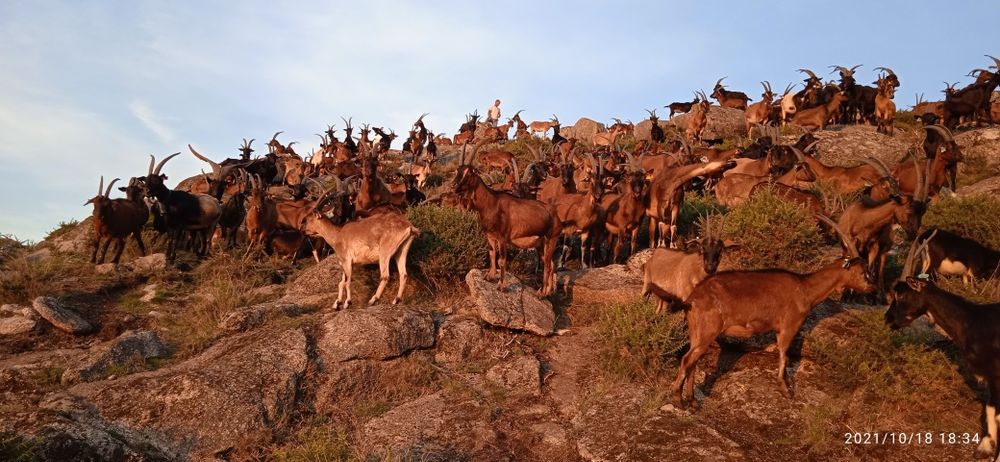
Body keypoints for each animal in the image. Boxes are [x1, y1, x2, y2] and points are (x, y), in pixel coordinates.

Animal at [454, 143, 560, 295]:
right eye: (457, 170)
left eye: (469, 172)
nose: (454, 186)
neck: (492, 202)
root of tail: (555, 215)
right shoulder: (490, 237)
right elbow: (492, 254)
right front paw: (490, 276)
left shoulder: (503, 238)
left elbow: (502, 261)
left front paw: (502, 286)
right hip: (540, 245)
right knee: (550, 263)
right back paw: (548, 291)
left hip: (551, 240)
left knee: (546, 264)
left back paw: (541, 293)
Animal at [673, 218, 872, 406]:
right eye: (862, 271)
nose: (873, 286)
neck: (805, 288)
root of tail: (692, 298)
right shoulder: (789, 325)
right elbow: (784, 355)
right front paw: (786, 390)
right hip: (708, 331)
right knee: (687, 359)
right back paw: (679, 399)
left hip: (696, 331)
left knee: (693, 361)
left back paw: (692, 400)